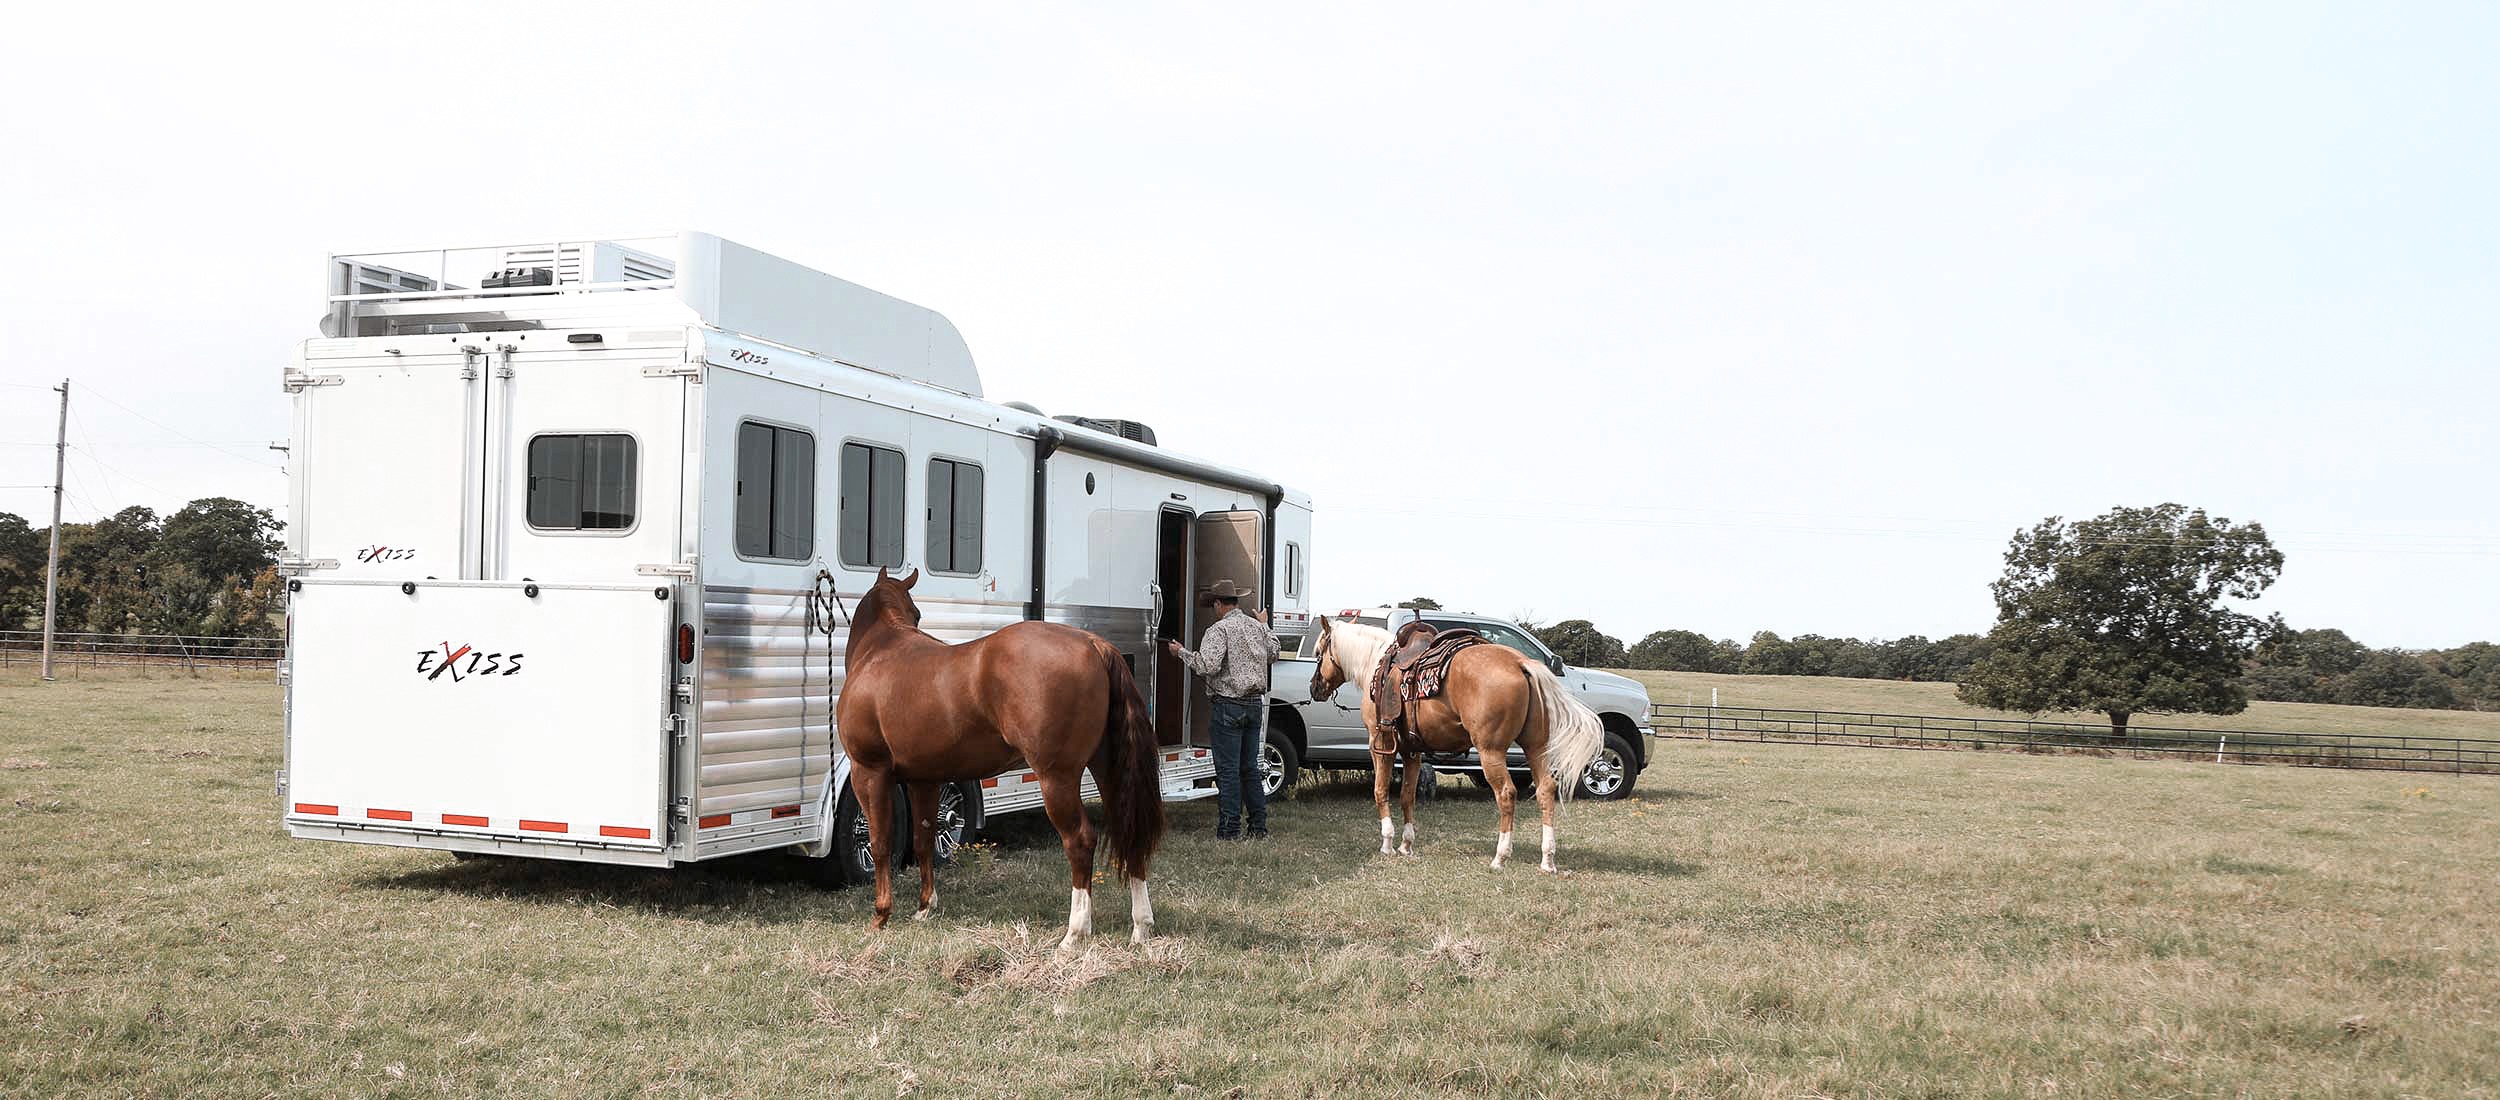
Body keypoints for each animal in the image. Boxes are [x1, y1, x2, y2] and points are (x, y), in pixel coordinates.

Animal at [830, 567, 1160, 945]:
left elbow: (880, 840)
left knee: (1080, 840)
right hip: (1108, 770)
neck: (880, 652)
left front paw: (881, 915)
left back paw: (1074, 933)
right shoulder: (924, 779)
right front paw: (924, 908)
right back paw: (1140, 927)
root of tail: (1094, 644)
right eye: (916, 613)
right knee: (1128, 831)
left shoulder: (869, 772)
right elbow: (924, 838)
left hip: (1057, 778)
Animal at [1310, 620, 1600, 870]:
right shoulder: (1411, 751)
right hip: (1536, 748)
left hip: (1491, 751)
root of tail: (1521, 662)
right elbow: (1407, 796)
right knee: (1546, 790)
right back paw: (1547, 859)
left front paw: (1387, 844)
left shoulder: (1379, 743)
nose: (1315, 688)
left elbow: (1380, 791)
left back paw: (1500, 856)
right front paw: (1406, 845)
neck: (1375, 662)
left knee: (1506, 794)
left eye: (1318, 653)